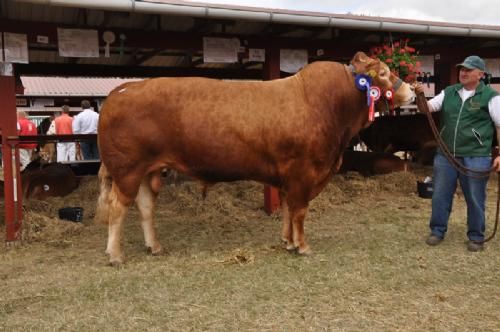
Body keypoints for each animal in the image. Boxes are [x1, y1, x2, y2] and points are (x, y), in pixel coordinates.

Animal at [94, 52, 414, 264]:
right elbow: (299, 211)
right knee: (118, 208)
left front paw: (287, 242)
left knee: (145, 207)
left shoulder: (288, 176)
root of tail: (122, 89)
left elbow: (287, 210)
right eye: (383, 73)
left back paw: (154, 246)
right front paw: (302, 246)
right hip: (127, 170)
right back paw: (115, 255)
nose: (412, 91)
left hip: (147, 170)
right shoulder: (303, 172)